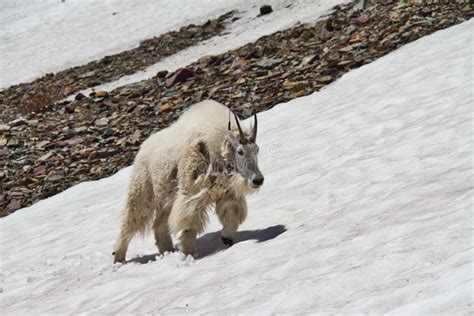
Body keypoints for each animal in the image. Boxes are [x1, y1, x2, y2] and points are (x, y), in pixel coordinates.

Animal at [113, 99, 264, 262]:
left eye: (257, 149)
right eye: (240, 151)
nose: (258, 180)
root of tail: (143, 147)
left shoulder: (227, 191)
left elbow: (232, 212)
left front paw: (227, 238)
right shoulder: (191, 192)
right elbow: (188, 221)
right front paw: (187, 253)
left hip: (166, 196)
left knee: (159, 224)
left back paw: (167, 250)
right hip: (143, 189)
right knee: (131, 220)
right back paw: (118, 256)